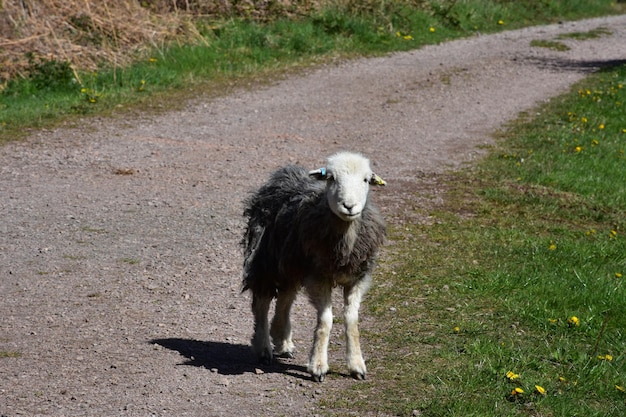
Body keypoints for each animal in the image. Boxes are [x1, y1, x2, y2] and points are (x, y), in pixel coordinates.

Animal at [240, 150, 382, 380]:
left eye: (366, 180)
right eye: (331, 178)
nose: (349, 206)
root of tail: (285, 175)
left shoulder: (357, 279)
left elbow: (352, 320)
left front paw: (356, 365)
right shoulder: (319, 277)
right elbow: (326, 320)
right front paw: (318, 366)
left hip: (291, 265)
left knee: (285, 298)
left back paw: (282, 340)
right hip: (265, 260)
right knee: (261, 304)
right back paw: (264, 348)